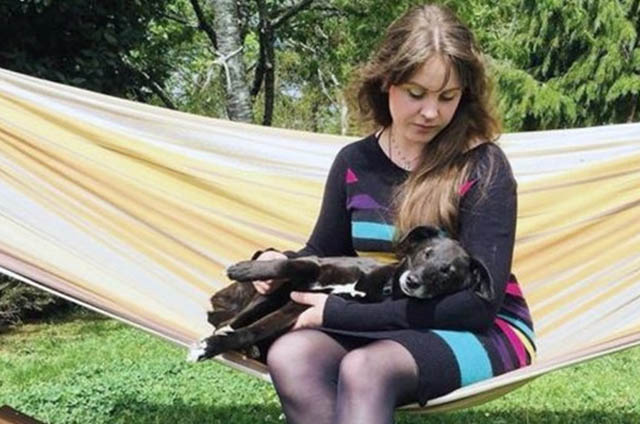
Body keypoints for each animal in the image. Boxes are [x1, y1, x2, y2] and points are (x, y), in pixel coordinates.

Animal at [188, 225, 489, 362]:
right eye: (426, 252)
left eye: (447, 272)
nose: (413, 281)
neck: (382, 285)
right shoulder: (315, 266)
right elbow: (287, 263)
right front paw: (246, 267)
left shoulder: (300, 307)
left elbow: (255, 330)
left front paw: (211, 348)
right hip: (269, 296)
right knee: (231, 320)